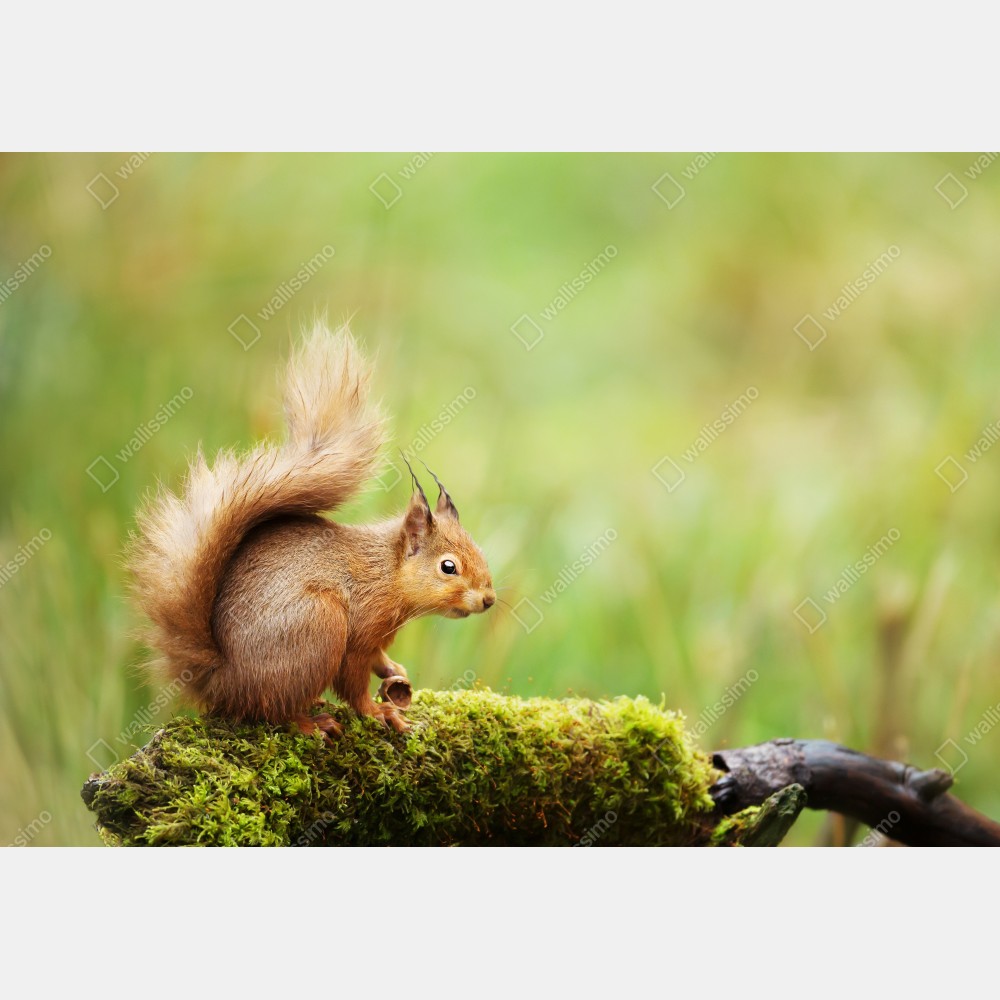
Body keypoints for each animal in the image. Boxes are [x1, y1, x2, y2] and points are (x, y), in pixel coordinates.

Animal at [128, 322, 495, 738]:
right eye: (448, 567)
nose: (489, 599)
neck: (387, 574)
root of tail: (221, 681)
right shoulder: (359, 632)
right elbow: (353, 681)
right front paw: (378, 712)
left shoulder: (376, 638)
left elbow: (378, 659)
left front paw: (394, 670)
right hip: (319, 627)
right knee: (273, 710)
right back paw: (311, 722)